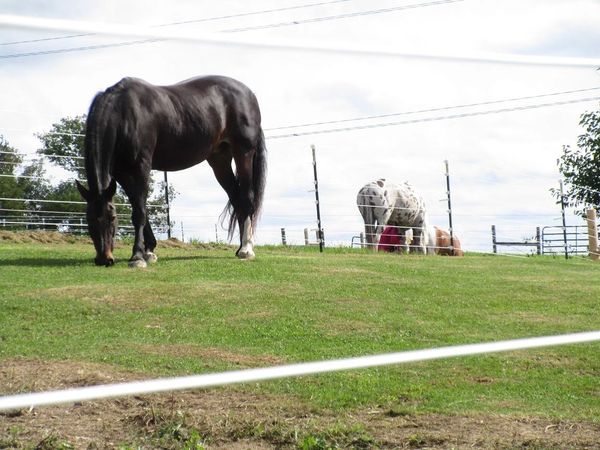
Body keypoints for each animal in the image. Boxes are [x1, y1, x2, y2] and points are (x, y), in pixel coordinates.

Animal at [77, 76, 268, 268]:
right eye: (88, 219)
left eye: (112, 217)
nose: (104, 259)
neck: (124, 112)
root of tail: (249, 94)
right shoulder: (121, 174)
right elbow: (140, 207)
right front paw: (149, 251)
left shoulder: (141, 168)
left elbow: (139, 212)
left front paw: (137, 257)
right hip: (219, 160)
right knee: (236, 199)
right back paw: (241, 247)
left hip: (243, 153)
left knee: (246, 198)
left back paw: (247, 250)